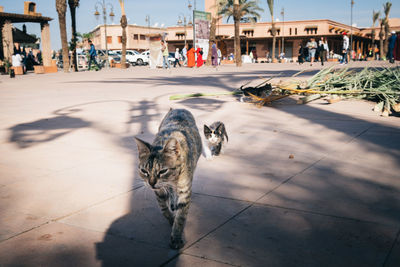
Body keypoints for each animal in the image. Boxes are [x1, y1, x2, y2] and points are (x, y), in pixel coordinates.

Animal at [135, 109, 203, 251]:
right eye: (144, 171)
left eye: (162, 171)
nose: (151, 183)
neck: (172, 179)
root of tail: (178, 108)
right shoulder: (159, 191)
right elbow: (163, 208)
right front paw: (170, 218)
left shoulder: (184, 190)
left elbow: (181, 217)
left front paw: (176, 237)